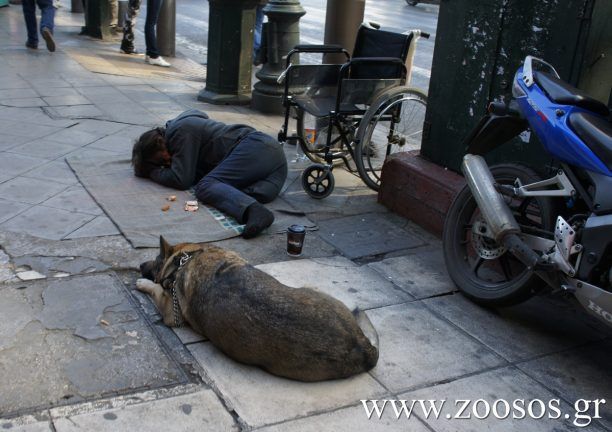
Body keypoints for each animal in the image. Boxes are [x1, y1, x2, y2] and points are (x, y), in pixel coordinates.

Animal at [136, 236, 380, 382]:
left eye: (156, 259)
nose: (139, 265)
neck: (186, 259)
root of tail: (362, 346)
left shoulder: (171, 312)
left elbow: (156, 290)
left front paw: (144, 283)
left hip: (310, 286)